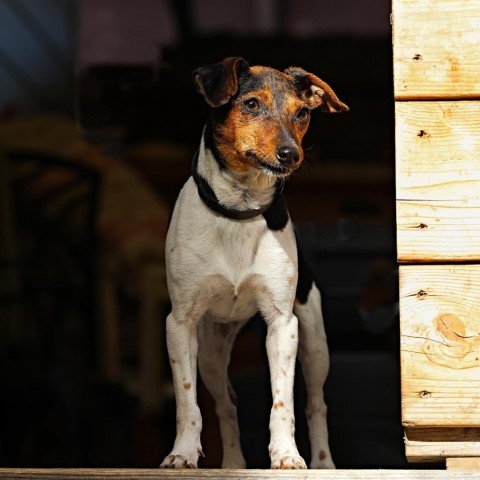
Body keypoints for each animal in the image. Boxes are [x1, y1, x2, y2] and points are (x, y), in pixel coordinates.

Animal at [159, 56, 346, 468]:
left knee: (317, 404)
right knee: (225, 404)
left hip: (315, 344)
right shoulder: (180, 323)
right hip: (212, 353)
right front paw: (182, 453)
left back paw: (323, 462)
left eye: (302, 113)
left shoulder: (283, 324)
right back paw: (232, 465)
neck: (239, 211)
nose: (291, 154)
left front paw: (287, 455)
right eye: (251, 104)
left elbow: (283, 403)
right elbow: (187, 402)